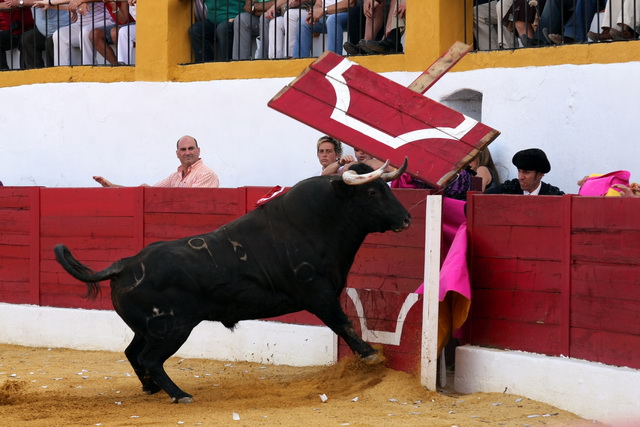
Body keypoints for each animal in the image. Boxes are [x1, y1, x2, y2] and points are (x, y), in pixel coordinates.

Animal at [57, 159, 412, 402]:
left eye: (387, 189)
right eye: (371, 191)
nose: (407, 218)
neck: (317, 221)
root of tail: (125, 264)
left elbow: (343, 324)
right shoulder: (319, 294)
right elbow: (344, 324)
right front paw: (371, 355)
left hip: (149, 329)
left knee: (133, 353)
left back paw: (151, 388)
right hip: (172, 328)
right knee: (149, 358)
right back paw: (180, 394)